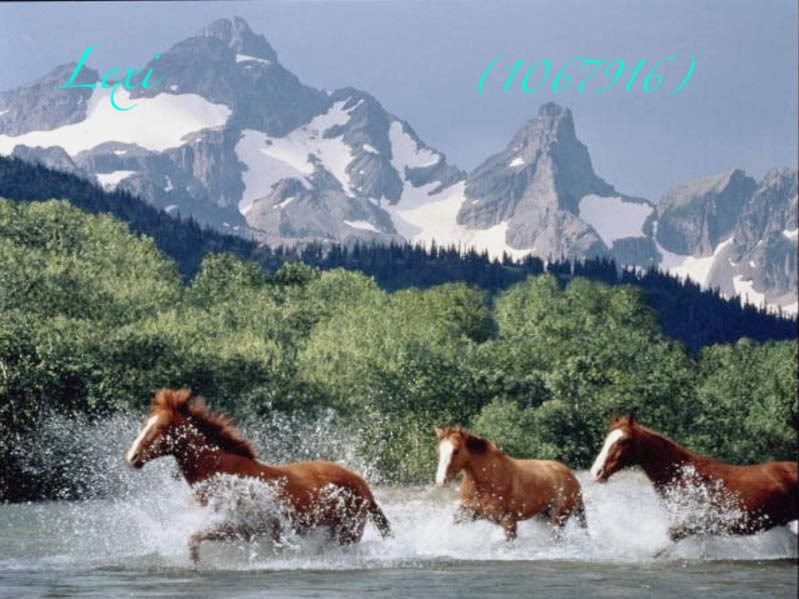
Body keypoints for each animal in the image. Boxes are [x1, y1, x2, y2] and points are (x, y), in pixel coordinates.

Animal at [124, 388, 392, 562]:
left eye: (160, 428)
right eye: (145, 424)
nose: (131, 457)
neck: (221, 472)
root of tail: (363, 486)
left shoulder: (237, 527)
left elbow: (193, 541)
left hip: (348, 533)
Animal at [434, 427, 587, 540]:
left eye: (456, 450)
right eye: (439, 450)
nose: (441, 480)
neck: (486, 482)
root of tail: (570, 475)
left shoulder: (508, 522)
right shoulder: (469, 512)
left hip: (559, 518)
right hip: (543, 516)